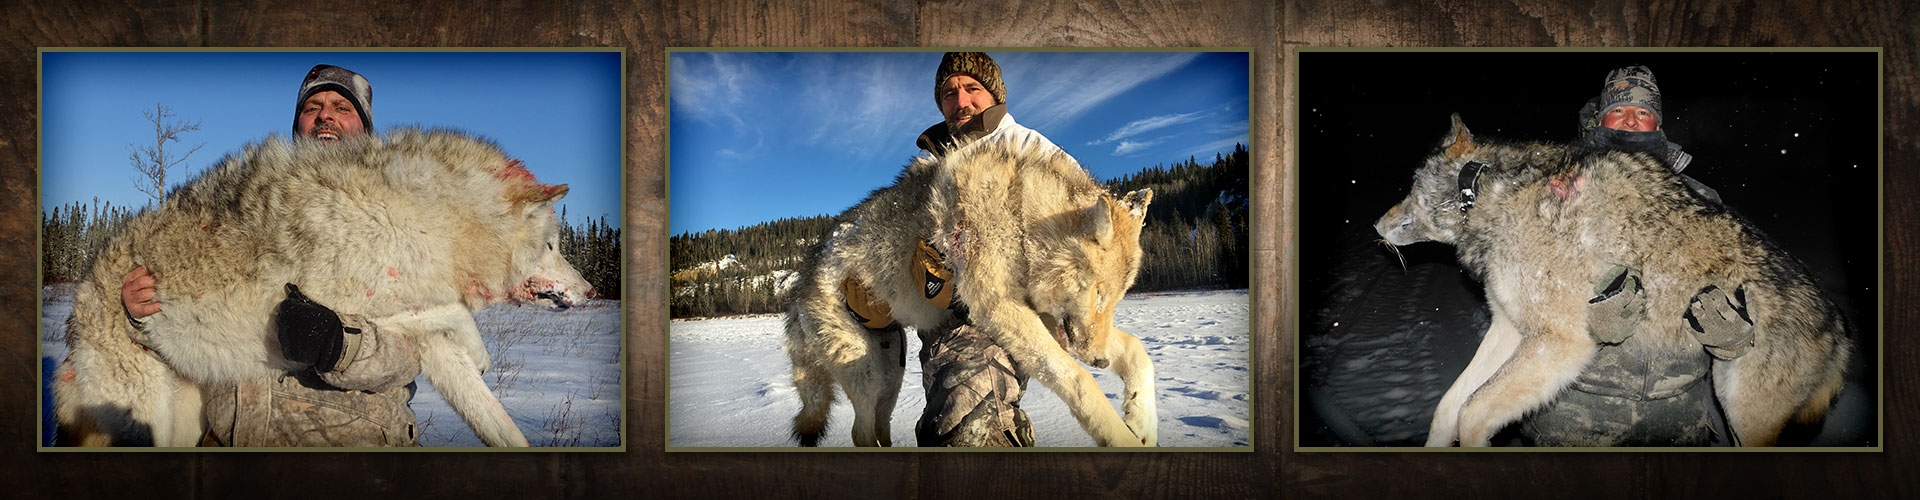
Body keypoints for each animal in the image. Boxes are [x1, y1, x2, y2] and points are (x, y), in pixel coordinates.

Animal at [52, 128, 594, 447]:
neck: (433, 218)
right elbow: (454, 313)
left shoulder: (424, 342)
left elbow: (497, 420)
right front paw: (481, 351)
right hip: (148, 418)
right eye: (553, 245)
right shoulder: (357, 308)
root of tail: (78, 307)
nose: (590, 291)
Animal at [783, 137, 1158, 447]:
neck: (1019, 215)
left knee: (877, 427)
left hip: (891, 377)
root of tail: (798, 284)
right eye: (1098, 293)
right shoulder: (999, 309)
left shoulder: (1048, 319)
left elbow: (1136, 349)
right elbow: (1080, 381)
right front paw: (1123, 438)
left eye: (1117, 298)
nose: (1100, 361)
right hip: (868, 374)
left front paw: (1141, 422)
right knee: (860, 432)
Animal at [1374, 115, 1851, 447]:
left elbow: (1472, 413)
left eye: (1411, 183)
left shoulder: (1558, 342)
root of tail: (1841, 333)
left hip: (1745, 414)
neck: (1492, 192)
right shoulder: (1508, 328)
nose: (1376, 225)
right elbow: (1449, 406)